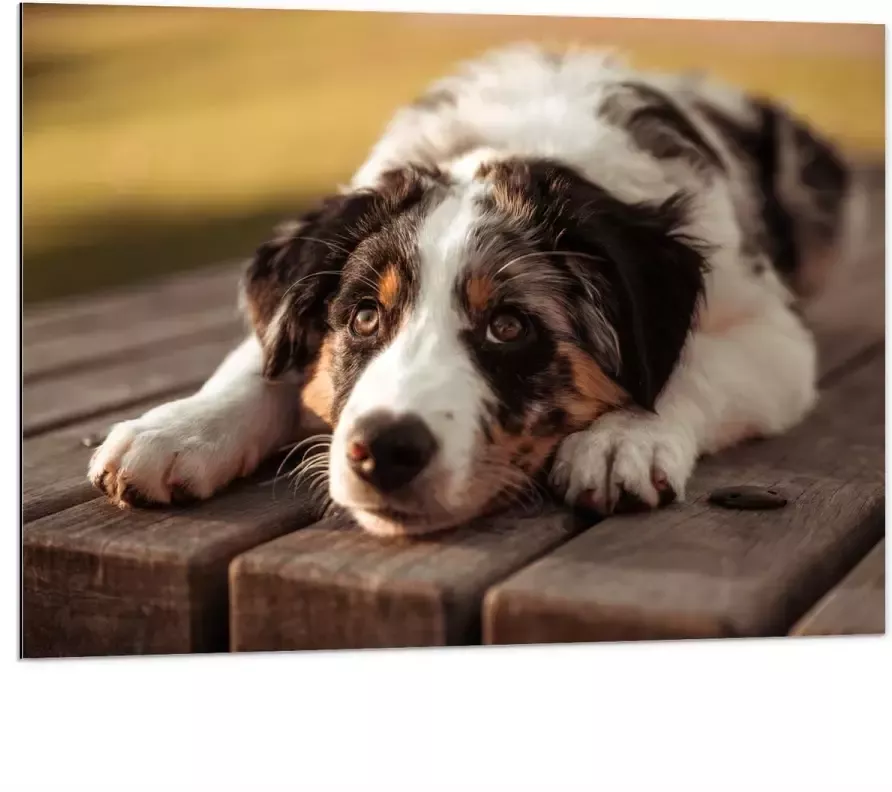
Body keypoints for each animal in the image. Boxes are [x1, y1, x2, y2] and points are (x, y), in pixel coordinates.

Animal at [85, 44, 864, 540]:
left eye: (509, 327)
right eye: (363, 317)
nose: (383, 451)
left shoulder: (774, 336)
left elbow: (690, 364)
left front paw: (624, 439)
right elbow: (260, 359)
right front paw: (176, 431)